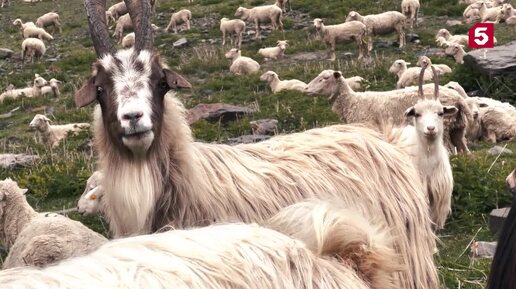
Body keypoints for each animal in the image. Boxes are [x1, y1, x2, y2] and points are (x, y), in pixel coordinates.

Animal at [304, 68, 474, 154]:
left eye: (325, 78)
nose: (305, 89)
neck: (352, 102)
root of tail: (459, 99)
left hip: (443, 130)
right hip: (458, 128)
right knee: (465, 152)